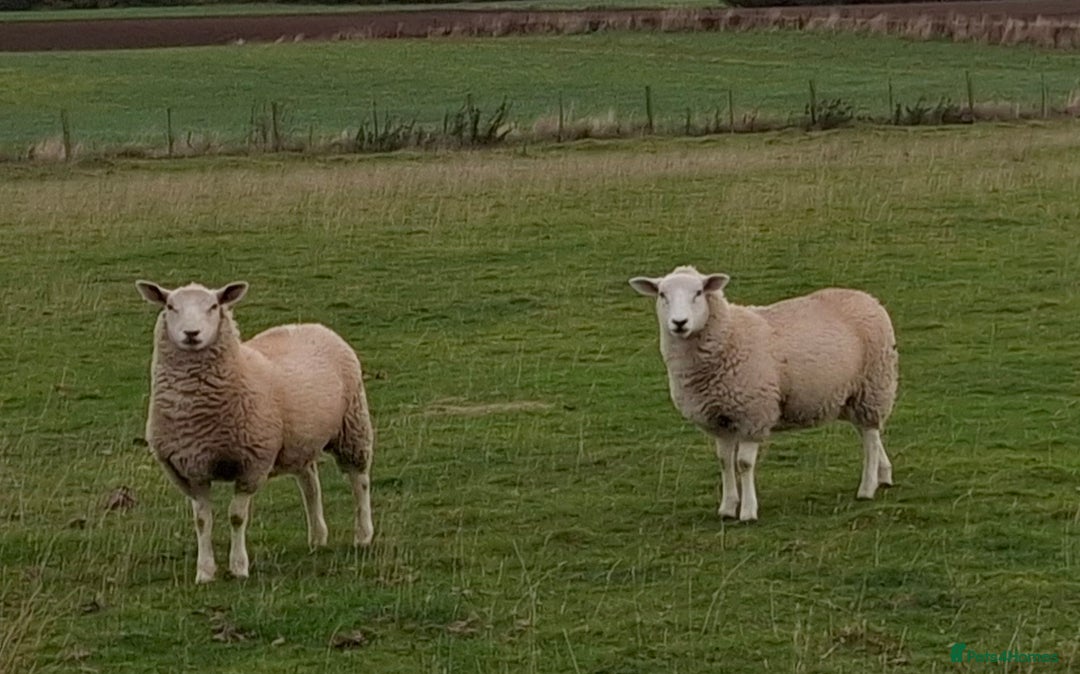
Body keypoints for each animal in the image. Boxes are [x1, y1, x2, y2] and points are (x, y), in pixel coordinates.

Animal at [135, 280, 374, 583]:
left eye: (214, 306)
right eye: (170, 306)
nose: (191, 334)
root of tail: (310, 325)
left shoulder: (252, 463)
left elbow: (237, 516)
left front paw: (238, 567)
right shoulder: (192, 469)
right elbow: (202, 520)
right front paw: (205, 571)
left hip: (352, 425)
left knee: (359, 481)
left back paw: (363, 535)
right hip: (299, 441)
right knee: (310, 484)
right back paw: (318, 537)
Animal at [628, 265, 898, 522]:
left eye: (698, 292)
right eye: (662, 294)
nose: (679, 322)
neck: (728, 335)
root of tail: (868, 298)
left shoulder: (752, 414)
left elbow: (744, 464)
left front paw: (748, 511)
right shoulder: (719, 420)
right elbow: (724, 461)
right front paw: (727, 507)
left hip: (872, 386)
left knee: (870, 439)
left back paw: (867, 487)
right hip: (850, 396)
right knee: (869, 434)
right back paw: (883, 475)